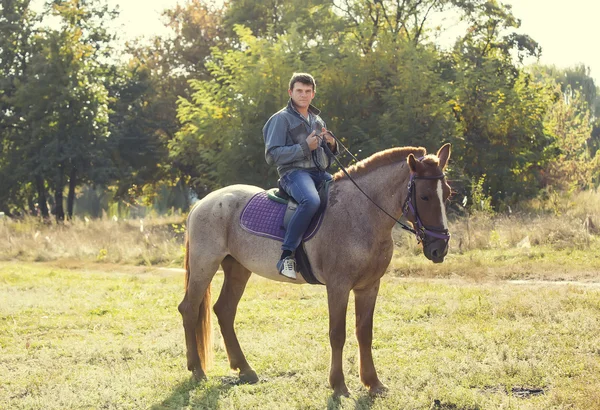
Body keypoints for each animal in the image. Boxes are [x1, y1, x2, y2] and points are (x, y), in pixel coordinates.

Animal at [178, 143, 450, 396]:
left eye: (446, 194)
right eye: (425, 196)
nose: (440, 248)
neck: (360, 214)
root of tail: (203, 203)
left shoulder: (369, 287)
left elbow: (365, 333)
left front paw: (373, 383)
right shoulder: (338, 287)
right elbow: (337, 334)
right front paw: (339, 385)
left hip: (237, 269)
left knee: (224, 310)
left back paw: (245, 369)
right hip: (205, 264)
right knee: (189, 309)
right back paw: (197, 370)